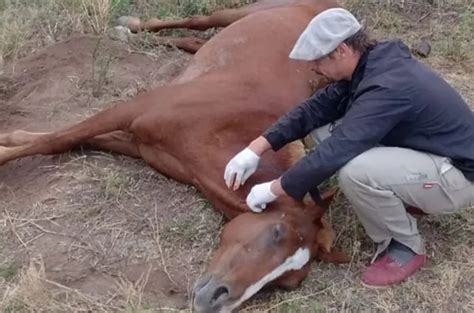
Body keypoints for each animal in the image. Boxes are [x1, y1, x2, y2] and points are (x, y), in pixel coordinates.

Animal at [0, 1, 348, 310]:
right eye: (277, 232)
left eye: (288, 283)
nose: (215, 300)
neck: (225, 125)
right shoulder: (133, 111)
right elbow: (59, 139)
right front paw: (6, 148)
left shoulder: (137, 142)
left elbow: (65, 140)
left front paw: (10, 139)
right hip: (242, 12)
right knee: (199, 21)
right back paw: (128, 26)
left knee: (191, 41)